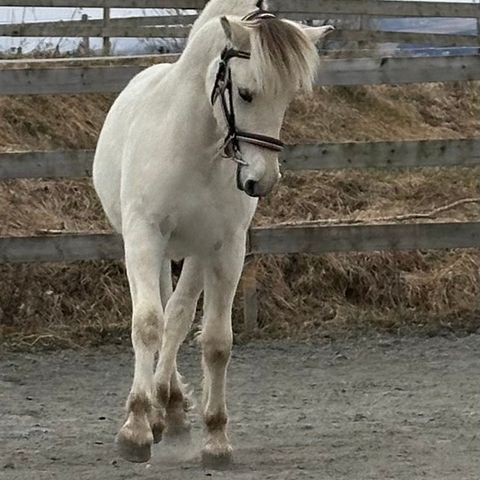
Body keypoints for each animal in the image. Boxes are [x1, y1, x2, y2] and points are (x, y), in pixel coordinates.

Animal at [94, 0, 334, 466]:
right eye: (245, 93)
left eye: (287, 98)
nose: (261, 180)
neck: (193, 149)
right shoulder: (145, 237)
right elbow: (146, 324)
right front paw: (135, 429)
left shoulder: (225, 248)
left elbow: (215, 340)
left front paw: (215, 438)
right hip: (161, 248)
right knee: (162, 315)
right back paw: (156, 412)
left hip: (193, 252)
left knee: (178, 314)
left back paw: (170, 408)